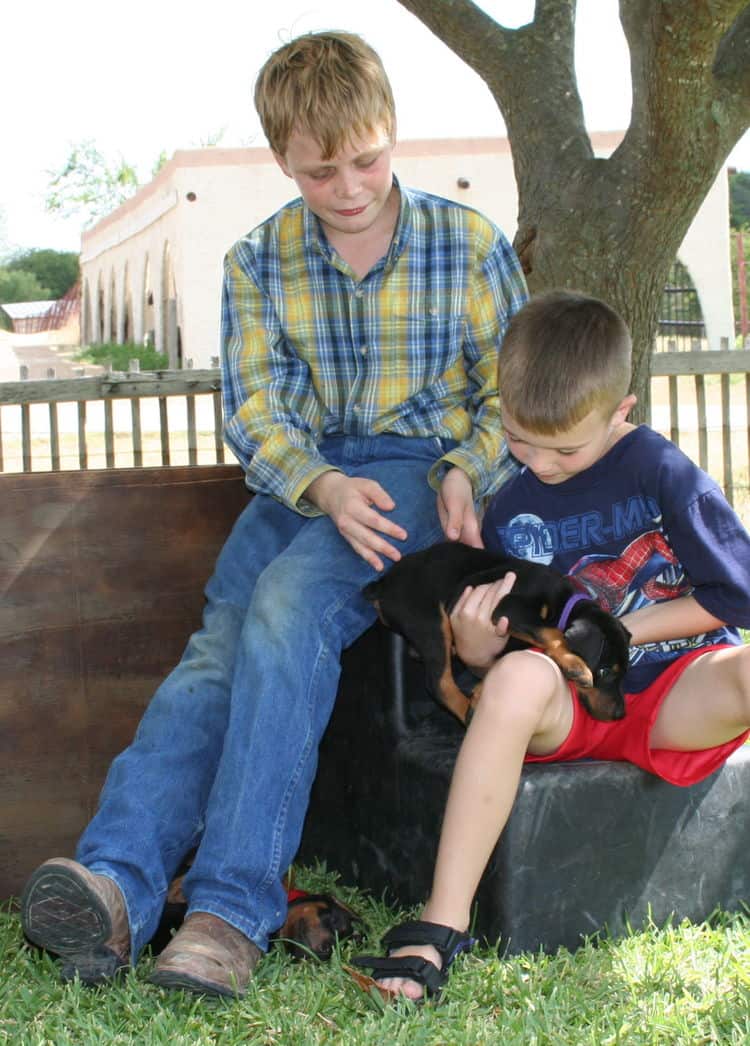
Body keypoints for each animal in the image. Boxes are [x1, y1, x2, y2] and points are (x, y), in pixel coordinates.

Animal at [361, 543, 627, 723]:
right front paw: (575, 664)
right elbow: (553, 632)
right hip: (431, 623)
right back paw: (468, 713)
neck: (564, 604)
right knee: (439, 683)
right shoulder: (508, 607)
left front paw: (481, 690)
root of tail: (382, 585)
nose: (620, 714)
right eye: (604, 671)